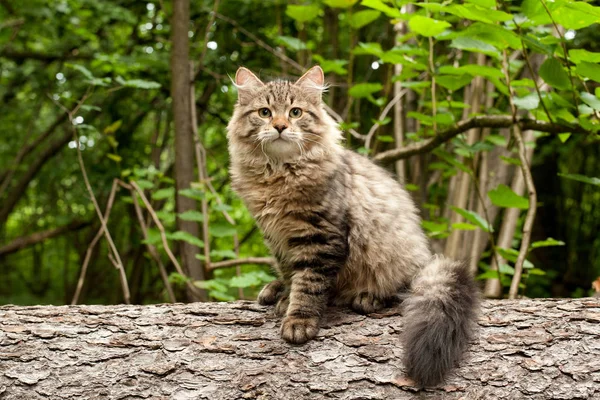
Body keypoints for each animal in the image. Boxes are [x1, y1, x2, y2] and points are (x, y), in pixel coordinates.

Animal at [225, 65, 478, 388]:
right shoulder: (277, 237)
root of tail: (425, 259)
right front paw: (284, 295)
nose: (280, 126)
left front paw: (299, 319)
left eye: (295, 112)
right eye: (265, 112)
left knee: (402, 290)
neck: (278, 174)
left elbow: (309, 284)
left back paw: (367, 298)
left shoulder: (321, 237)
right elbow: (290, 273)